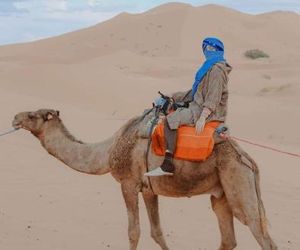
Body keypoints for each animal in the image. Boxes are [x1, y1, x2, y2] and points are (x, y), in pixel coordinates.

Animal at [12, 108, 278, 249]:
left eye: (34, 115)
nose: (15, 117)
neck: (107, 151)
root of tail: (248, 160)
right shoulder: (149, 189)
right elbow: (156, 231)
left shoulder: (128, 183)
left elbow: (134, 231)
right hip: (220, 194)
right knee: (228, 239)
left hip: (238, 182)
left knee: (261, 234)